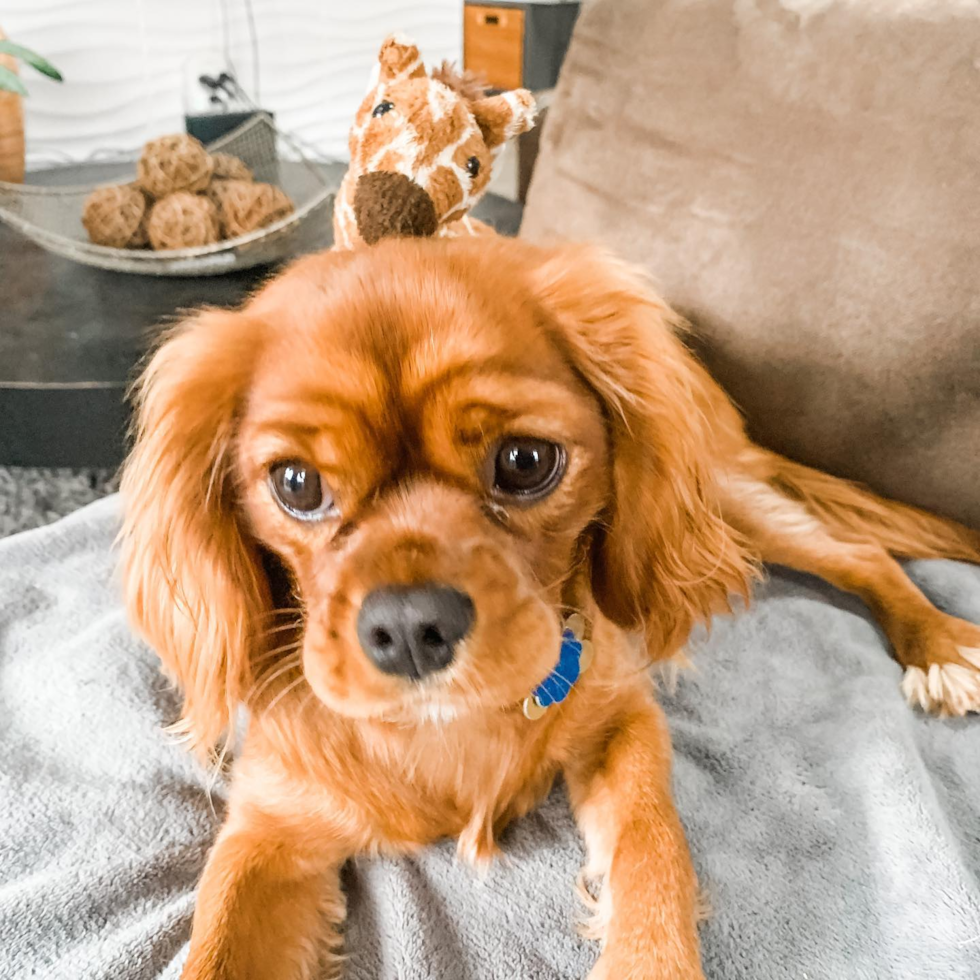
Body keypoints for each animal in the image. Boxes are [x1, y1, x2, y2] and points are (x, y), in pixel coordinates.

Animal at [120, 237, 980, 980]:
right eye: (296, 484)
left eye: (525, 461)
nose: (409, 628)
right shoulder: (267, 832)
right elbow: (217, 942)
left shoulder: (622, 724)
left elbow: (654, 850)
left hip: (722, 503)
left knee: (861, 555)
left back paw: (940, 647)